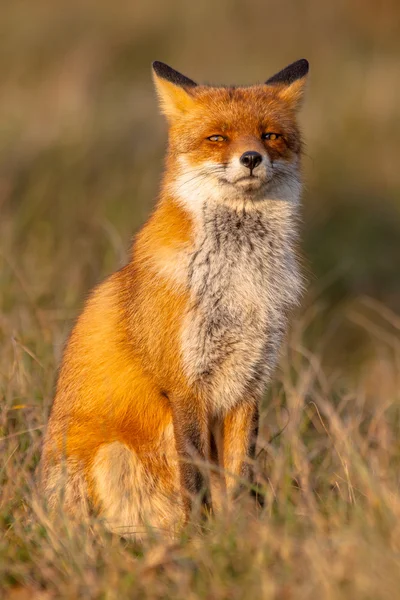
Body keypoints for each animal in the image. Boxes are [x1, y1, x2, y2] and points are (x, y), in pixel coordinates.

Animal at [40, 59, 308, 540]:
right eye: (217, 138)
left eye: (269, 136)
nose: (251, 158)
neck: (238, 284)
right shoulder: (185, 386)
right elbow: (195, 479)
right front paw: (200, 540)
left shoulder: (248, 385)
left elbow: (237, 477)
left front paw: (239, 535)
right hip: (110, 455)